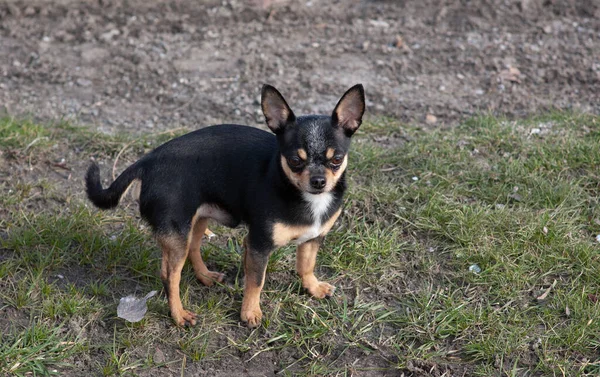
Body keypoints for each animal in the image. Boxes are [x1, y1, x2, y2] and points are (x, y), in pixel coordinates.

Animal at [85, 83, 366, 324]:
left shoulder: (313, 238)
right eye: (295, 161)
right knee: (170, 275)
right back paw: (179, 315)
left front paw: (313, 287)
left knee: (194, 248)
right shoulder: (258, 245)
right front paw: (250, 312)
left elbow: (306, 265)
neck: (303, 196)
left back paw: (205, 276)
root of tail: (147, 161)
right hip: (177, 233)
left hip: (197, 220)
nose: (318, 181)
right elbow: (256, 281)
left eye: (337, 159)